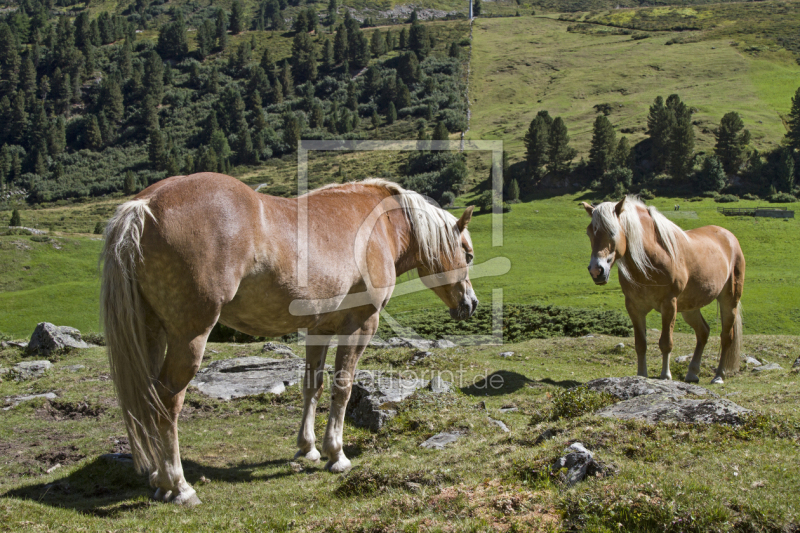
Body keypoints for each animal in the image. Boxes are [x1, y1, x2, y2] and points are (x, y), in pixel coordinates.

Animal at [100, 172, 476, 504]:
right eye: (468, 254)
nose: (470, 303)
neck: (380, 225)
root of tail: (144, 206)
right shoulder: (361, 325)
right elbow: (342, 387)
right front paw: (336, 454)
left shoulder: (319, 329)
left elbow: (313, 386)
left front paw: (307, 448)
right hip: (188, 336)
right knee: (167, 402)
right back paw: (178, 486)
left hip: (151, 332)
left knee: (148, 399)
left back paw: (158, 480)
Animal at [580, 197, 744, 384]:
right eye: (589, 233)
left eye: (613, 232)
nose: (596, 271)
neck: (650, 263)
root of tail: (729, 236)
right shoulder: (634, 307)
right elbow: (640, 344)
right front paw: (641, 375)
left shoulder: (669, 305)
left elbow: (666, 342)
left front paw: (665, 376)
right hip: (690, 308)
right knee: (703, 332)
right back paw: (692, 373)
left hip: (729, 300)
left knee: (726, 337)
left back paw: (719, 376)